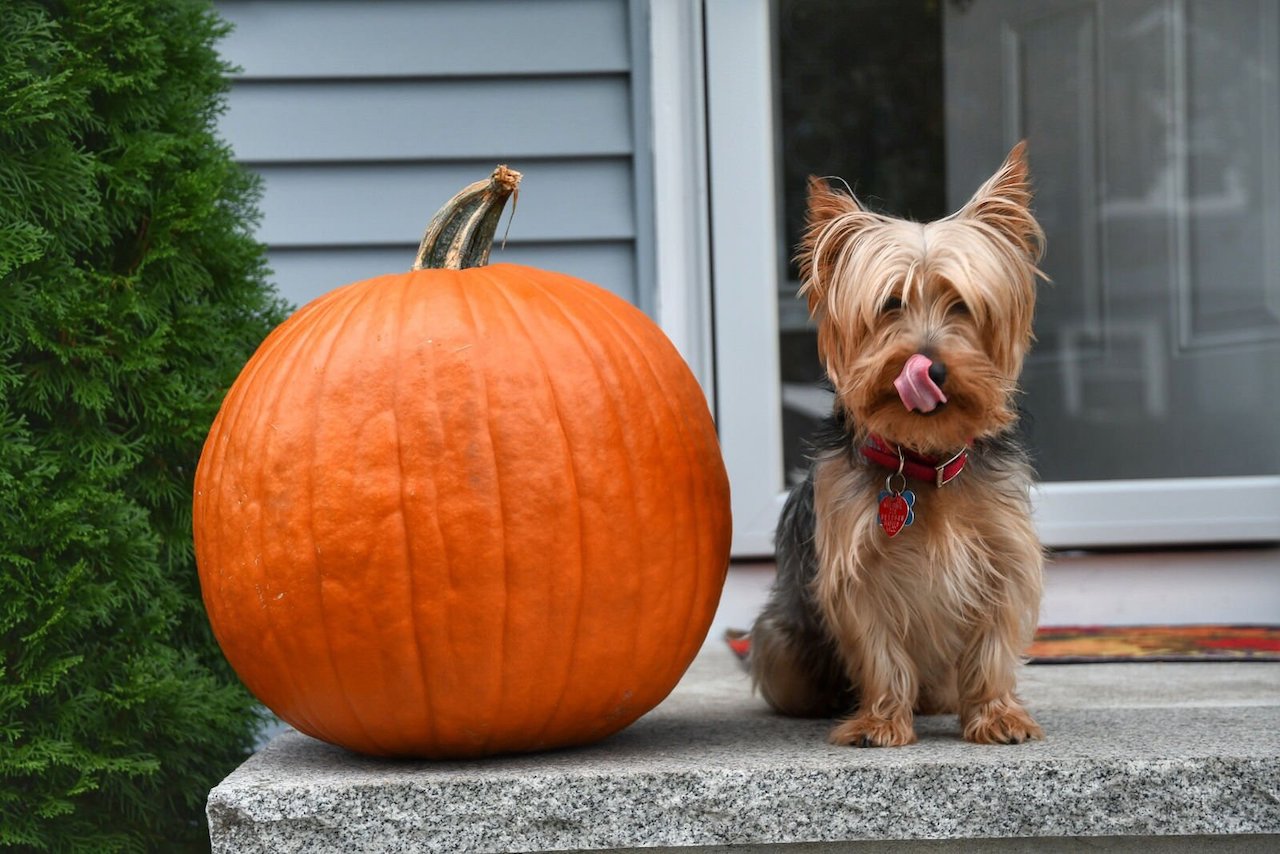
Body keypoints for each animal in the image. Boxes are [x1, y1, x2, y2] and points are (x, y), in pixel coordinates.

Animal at [747, 143, 1049, 742]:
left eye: (961, 305)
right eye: (890, 304)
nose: (928, 366)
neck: (924, 459)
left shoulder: (1004, 555)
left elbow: (993, 642)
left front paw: (997, 714)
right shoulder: (858, 569)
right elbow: (879, 650)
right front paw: (880, 720)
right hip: (781, 645)